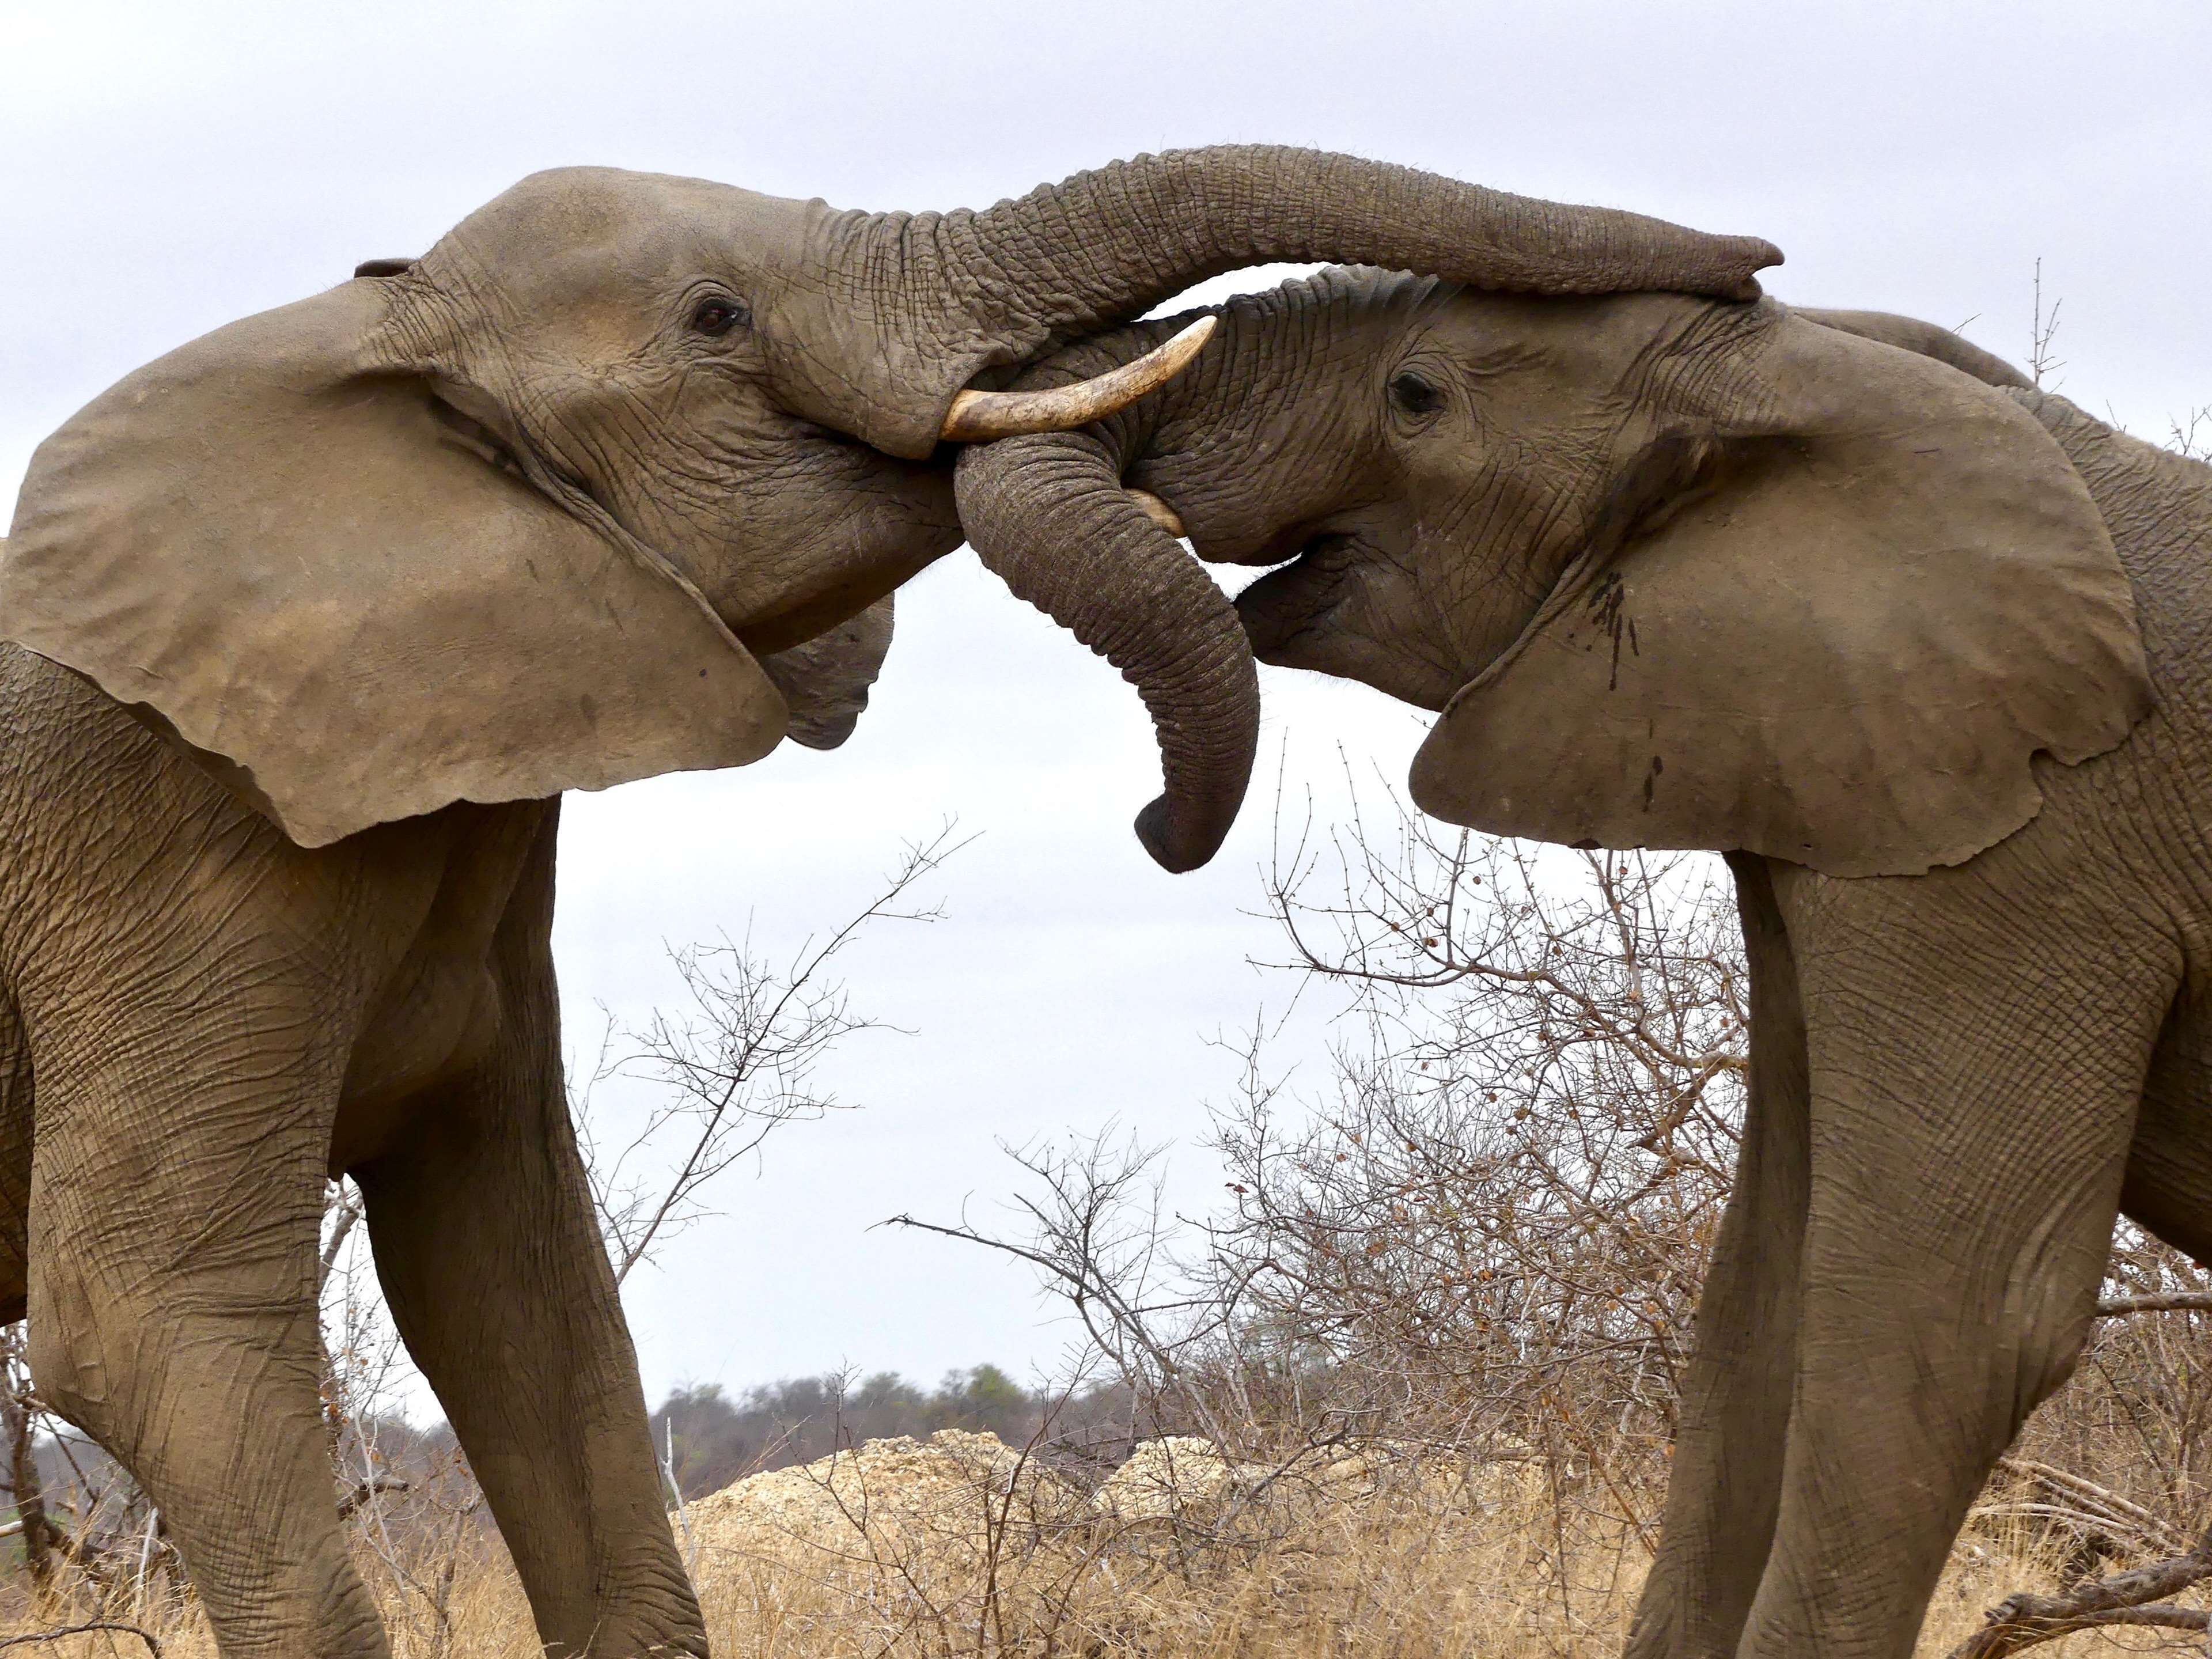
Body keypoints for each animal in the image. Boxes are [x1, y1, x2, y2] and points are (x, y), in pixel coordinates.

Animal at [0, 153, 1775, 1656]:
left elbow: (521, 1291)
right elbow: (155, 1324)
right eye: (717, 321)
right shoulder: (157, 822)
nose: (1754, 270)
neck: (354, 352)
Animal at [955, 272, 2212, 1657]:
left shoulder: (2028, 852)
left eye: (1416, 396)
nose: (1147, 824)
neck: (1809, 381)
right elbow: (1757, 1310)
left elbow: (1945, 1327)